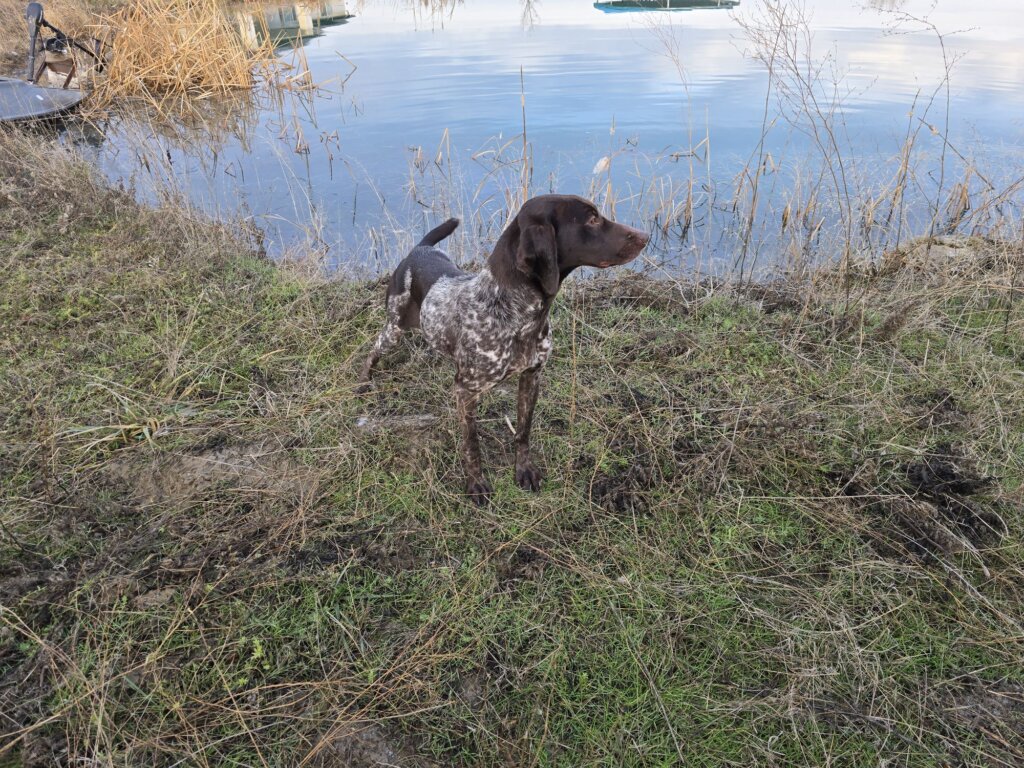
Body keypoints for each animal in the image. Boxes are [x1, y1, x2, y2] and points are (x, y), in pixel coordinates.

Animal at [360, 193, 647, 505]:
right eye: (592, 219)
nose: (645, 236)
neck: (515, 311)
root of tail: (419, 249)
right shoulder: (465, 391)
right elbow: (471, 444)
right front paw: (476, 484)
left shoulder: (532, 376)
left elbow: (523, 431)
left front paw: (524, 471)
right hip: (394, 328)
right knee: (372, 352)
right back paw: (363, 384)